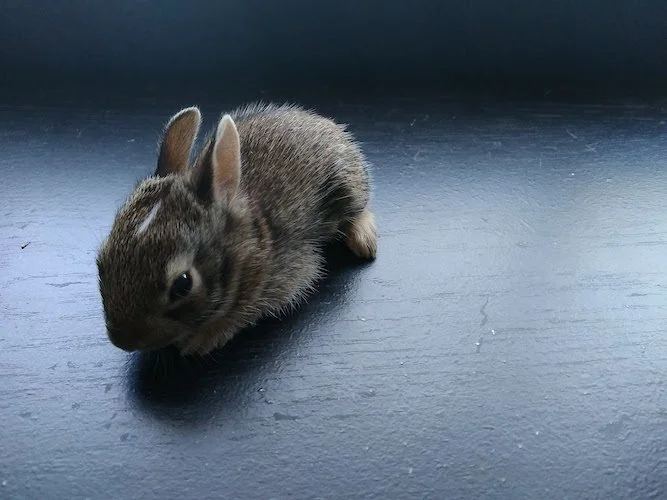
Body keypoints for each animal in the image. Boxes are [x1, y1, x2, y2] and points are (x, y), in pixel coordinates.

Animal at [96, 102, 377, 356]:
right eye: (101, 261)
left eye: (182, 285)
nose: (122, 340)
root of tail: (328, 126)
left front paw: (202, 340)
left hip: (346, 187)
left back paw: (364, 241)